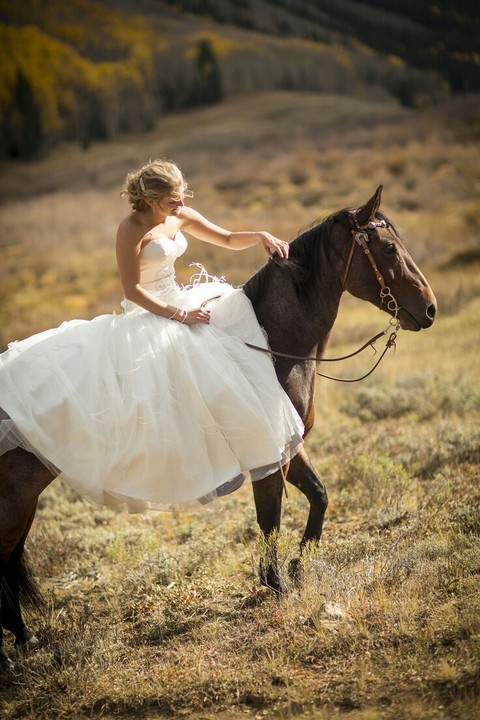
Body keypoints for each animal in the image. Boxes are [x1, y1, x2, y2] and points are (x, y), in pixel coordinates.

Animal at [0, 186, 437, 672]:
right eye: (389, 249)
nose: (430, 309)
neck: (271, 341)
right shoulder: (268, 448)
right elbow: (269, 518)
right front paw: (276, 583)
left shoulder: (285, 444)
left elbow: (320, 496)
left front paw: (299, 567)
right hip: (14, 500)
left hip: (23, 501)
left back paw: (24, 642)